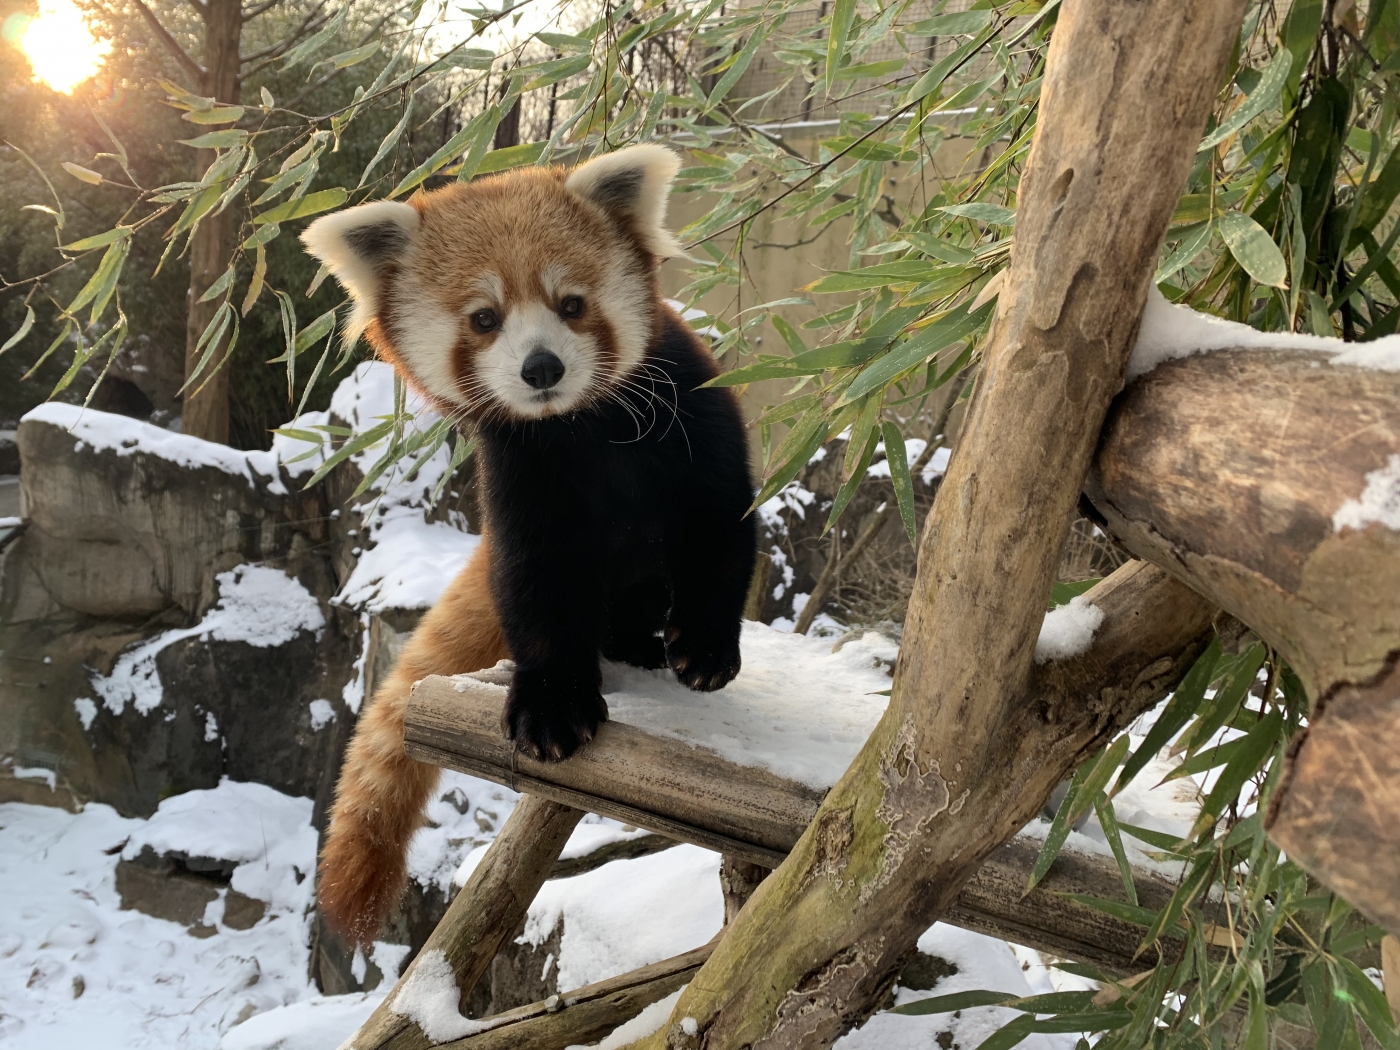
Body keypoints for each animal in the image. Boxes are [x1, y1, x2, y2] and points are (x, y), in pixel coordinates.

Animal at [303, 146, 756, 946]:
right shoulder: (522, 475)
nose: (541, 367)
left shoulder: (691, 413)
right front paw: (550, 708)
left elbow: (720, 527)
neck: (581, 425)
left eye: (571, 303)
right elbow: (538, 586)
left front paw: (704, 648)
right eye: (484, 320)